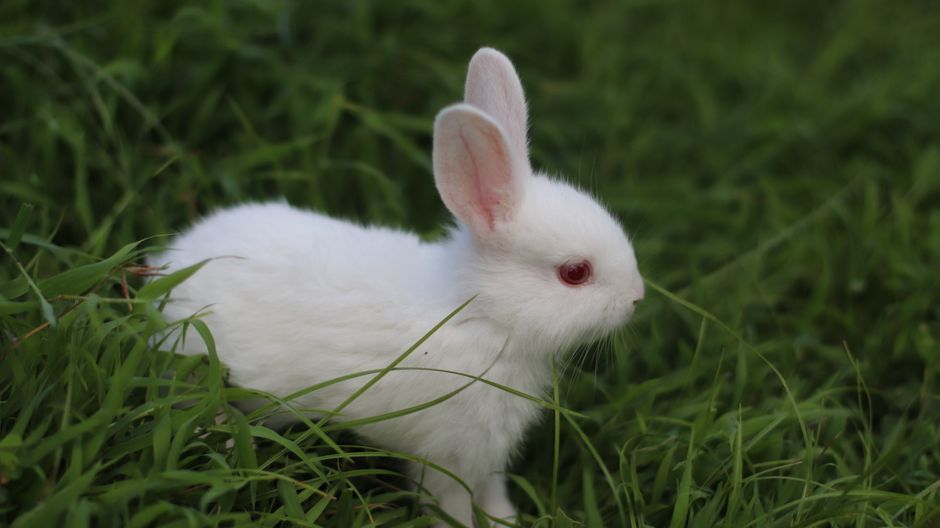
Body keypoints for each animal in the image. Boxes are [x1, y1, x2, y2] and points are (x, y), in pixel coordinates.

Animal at [150, 48, 644, 527]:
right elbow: (452, 506)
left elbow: (492, 492)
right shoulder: (447, 456)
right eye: (575, 272)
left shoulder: (486, 456)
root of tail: (167, 266)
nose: (637, 297)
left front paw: (506, 519)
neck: (481, 315)